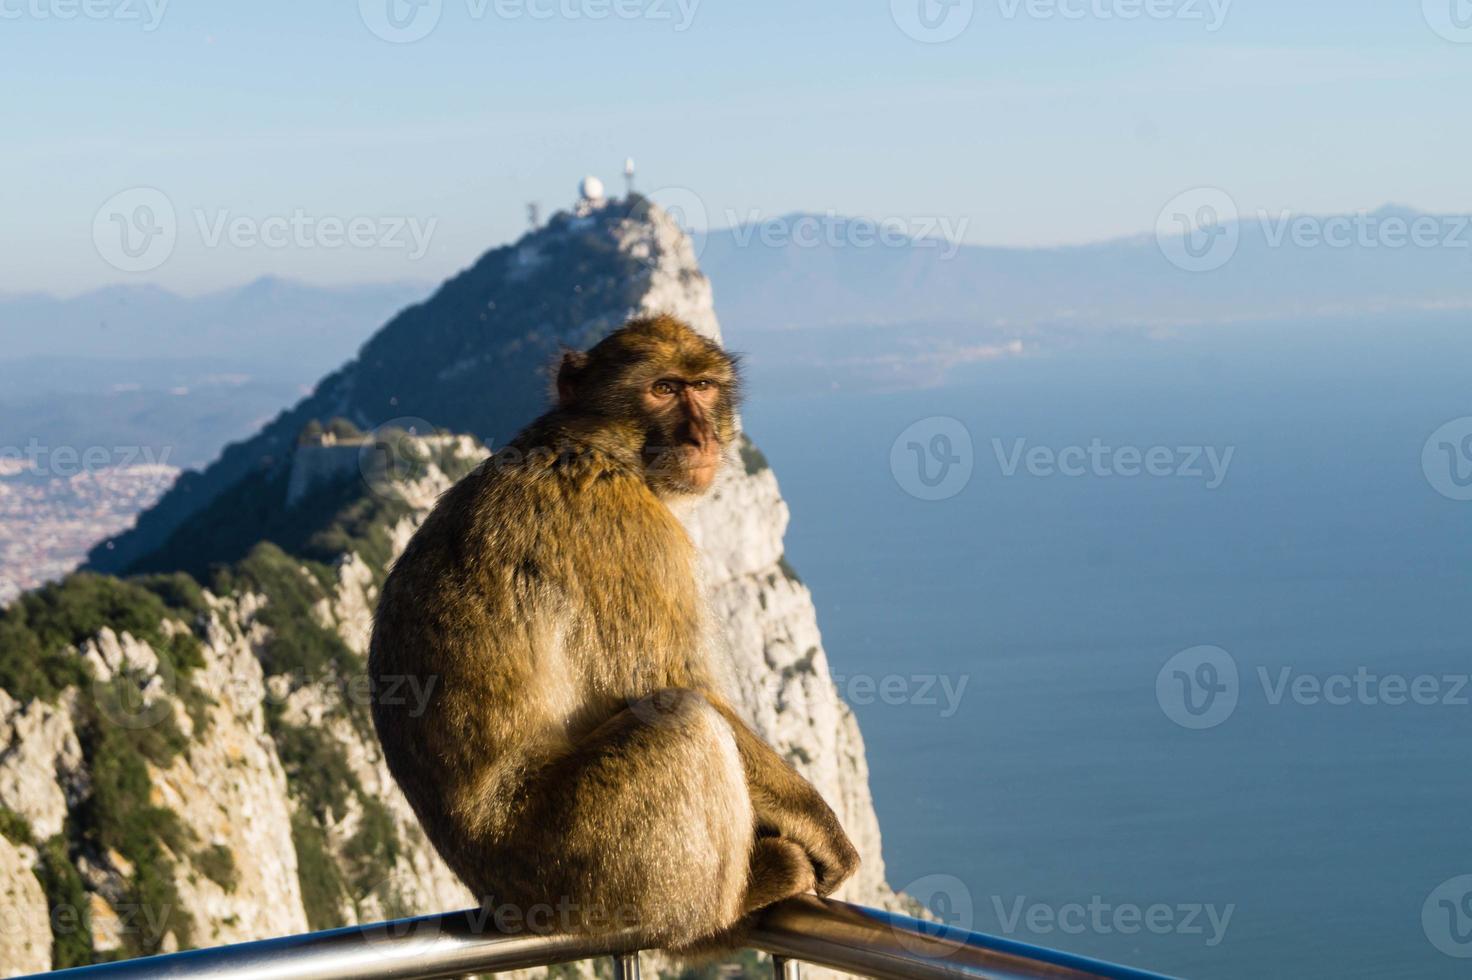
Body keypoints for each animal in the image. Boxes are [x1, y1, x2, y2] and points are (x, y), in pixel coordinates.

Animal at [363, 310, 859, 947]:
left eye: (703, 388)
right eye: (663, 389)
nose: (702, 437)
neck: (593, 446)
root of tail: (501, 899)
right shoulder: (627, 530)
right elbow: (678, 683)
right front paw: (822, 828)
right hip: (577, 859)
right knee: (682, 723)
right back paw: (737, 900)